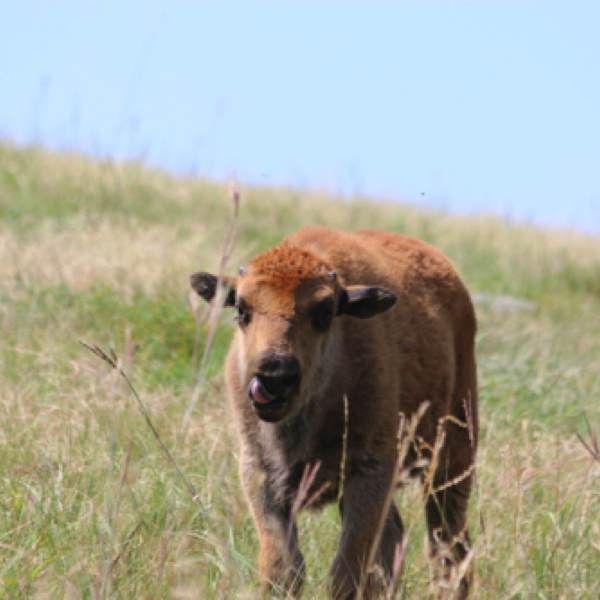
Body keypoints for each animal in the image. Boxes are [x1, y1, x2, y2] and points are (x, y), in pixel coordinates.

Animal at [190, 227, 480, 596]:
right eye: (241, 309)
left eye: (325, 313)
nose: (275, 376)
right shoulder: (260, 474)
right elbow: (283, 569)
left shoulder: (370, 471)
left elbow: (346, 575)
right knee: (397, 537)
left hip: (453, 456)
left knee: (448, 547)